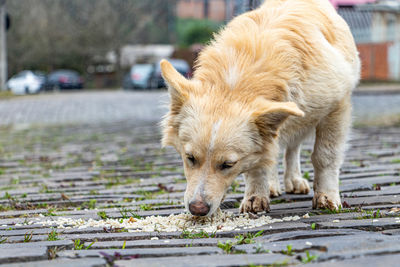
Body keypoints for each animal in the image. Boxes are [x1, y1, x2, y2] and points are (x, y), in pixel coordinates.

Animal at [161, 0, 360, 217]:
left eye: (228, 164)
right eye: (190, 158)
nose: (197, 209)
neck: (240, 78)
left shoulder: (336, 108)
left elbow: (325, 156)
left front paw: (326, 197)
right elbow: (257, 164)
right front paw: (255, 196)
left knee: (292, 148)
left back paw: (294, 180)